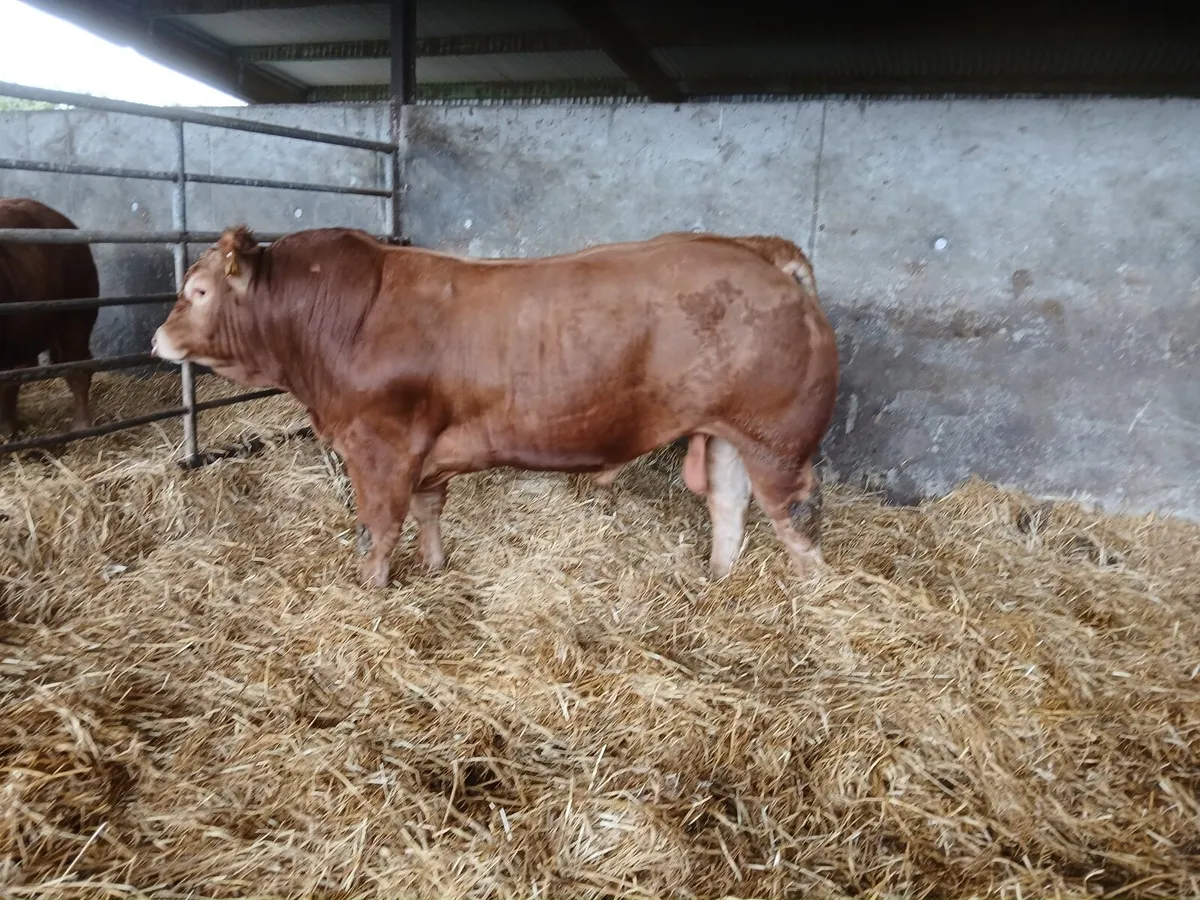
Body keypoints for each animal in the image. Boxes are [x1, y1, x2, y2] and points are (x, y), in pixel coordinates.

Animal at [151, 226, 838, 588]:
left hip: (779, 441)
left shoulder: (380, 446)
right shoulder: (424, 450)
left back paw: (812, 592)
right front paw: (433, 566)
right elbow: (427, 511)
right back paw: (717, 578)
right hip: (727, 432)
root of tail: (757, 248)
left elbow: (381, 524)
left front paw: (372, 585)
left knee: (794, 524)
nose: (156, 338)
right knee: (728, 505)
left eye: (198, 291)